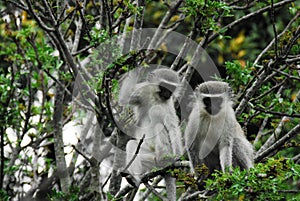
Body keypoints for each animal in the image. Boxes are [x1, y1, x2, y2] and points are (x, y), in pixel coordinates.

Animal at [119, 68, 183, 200]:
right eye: (164, 86)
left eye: (171, 88)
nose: (168, 94)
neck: (156, 97)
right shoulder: (143, 90)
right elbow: (125, 98)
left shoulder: (168, 105)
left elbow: (172, 128)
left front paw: (178, 157)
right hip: (148, 156)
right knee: (132, 145)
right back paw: (134, 179)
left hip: (164, 150)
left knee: (159, 125)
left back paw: (165, 159)